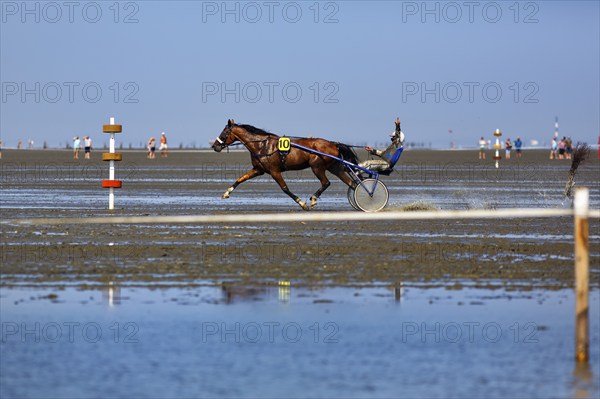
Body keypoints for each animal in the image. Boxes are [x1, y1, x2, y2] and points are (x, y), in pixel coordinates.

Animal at [213, 119, 358, 211]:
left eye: (224, 132)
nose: (214, 146)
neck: (262, 146)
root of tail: (334, 144)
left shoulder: (274, 171)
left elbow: (285, 188)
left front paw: (302, 204)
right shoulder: (258, 169)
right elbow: (240, 179)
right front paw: (226, 193)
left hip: (317, 167)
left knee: (326, 183)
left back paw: (313, 199)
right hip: (334, 168)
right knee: (352, 183)